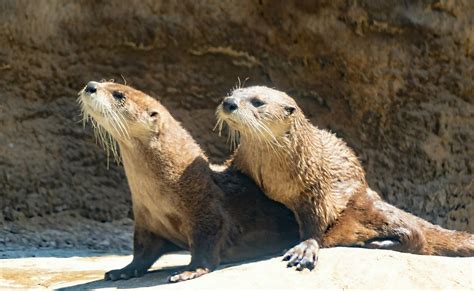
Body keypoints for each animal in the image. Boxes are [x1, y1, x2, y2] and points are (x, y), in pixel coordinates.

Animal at [78, 81, 300, 282]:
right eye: (106, 82)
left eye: (118, 94)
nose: (91, 85)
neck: (175, 180)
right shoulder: (145, 220)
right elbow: (141, 250)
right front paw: (123, 270)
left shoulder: (206, 212)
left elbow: (205, 246)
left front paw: (190, 271)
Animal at [216, 86, 474, 272]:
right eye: (234, 92)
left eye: (258, 102)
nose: (228, 102)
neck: (273, 178)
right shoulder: (239, 162)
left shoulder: (315, 190)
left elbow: (316, 224)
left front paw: (305, 249)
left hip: (368, 205)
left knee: (415, 234)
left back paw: (376, 243)